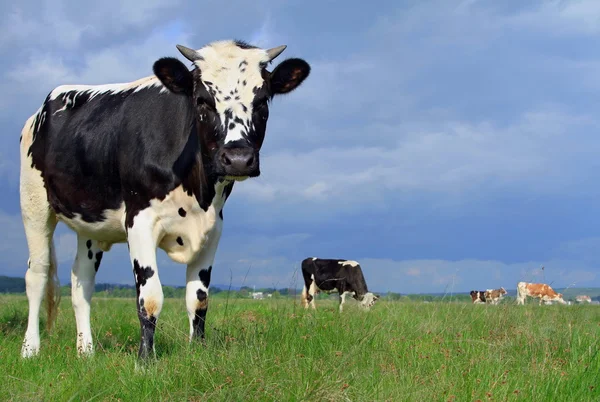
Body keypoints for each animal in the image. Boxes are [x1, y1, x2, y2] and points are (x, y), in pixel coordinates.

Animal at [18, 40, 310, 360]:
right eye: (202, 101)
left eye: (262, 101)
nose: (238, 159)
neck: (198, 189)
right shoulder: (139, 220)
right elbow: (150, 297)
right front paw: (145, 360)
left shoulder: (213, 228)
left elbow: (199, 299)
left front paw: (198, 354)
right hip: (34, 204)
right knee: (37, 274)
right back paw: (30, 349)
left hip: (90, 224)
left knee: (81, 281)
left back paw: (86, 352)